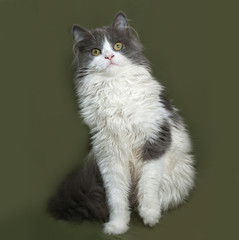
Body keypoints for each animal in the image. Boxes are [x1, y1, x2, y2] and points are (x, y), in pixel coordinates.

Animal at [47, 11, 195, 234]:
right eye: (96, 51)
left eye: (117, 46)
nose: (109, 57)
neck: (114, 87)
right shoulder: (109, 153)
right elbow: (116, 197)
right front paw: (117, 226)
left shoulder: (154, 141)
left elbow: (148, 186)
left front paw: (150, 216)